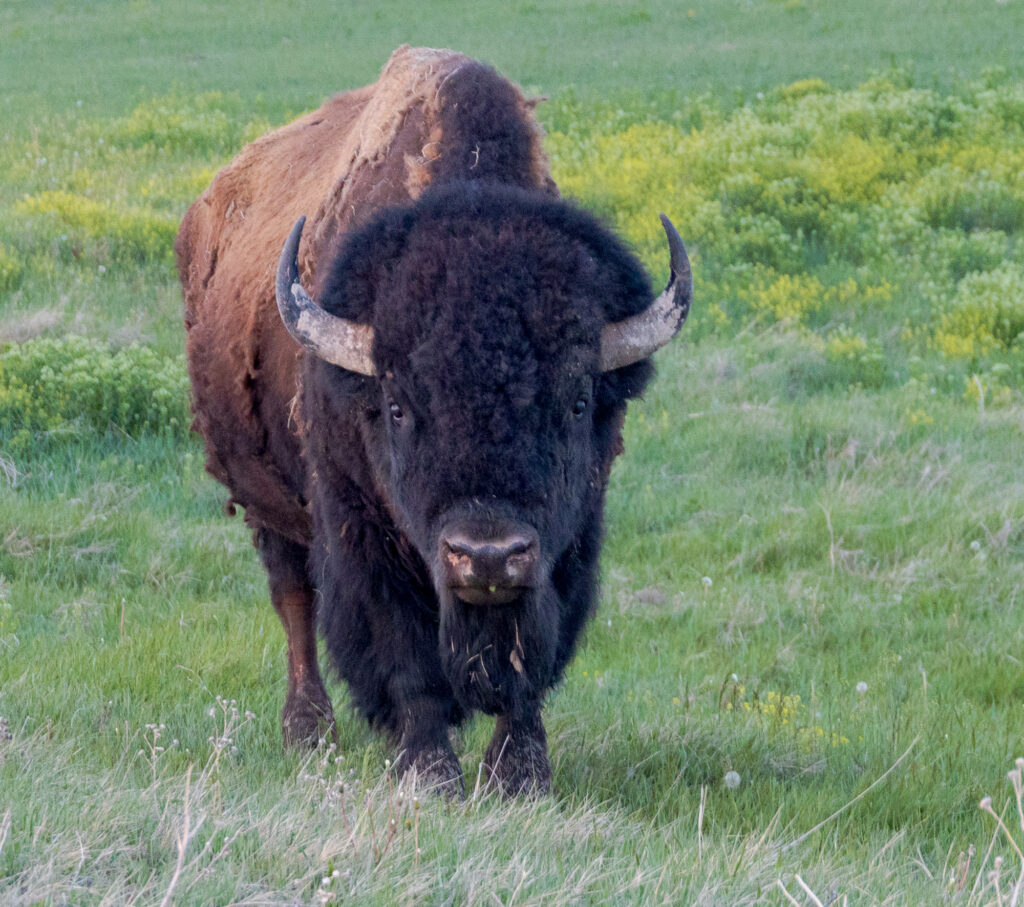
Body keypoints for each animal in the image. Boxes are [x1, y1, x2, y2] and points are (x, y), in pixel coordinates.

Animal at [176, 46, 691, 796]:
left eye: (577, 401)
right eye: (398, 405)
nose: (487, 555)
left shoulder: (568, 544)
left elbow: (529, 667)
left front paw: (520, 775)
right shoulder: (363, 534)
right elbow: (404, 653)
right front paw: (428, 772)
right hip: (268, 508)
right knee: (294, 598)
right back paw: (309, 733)